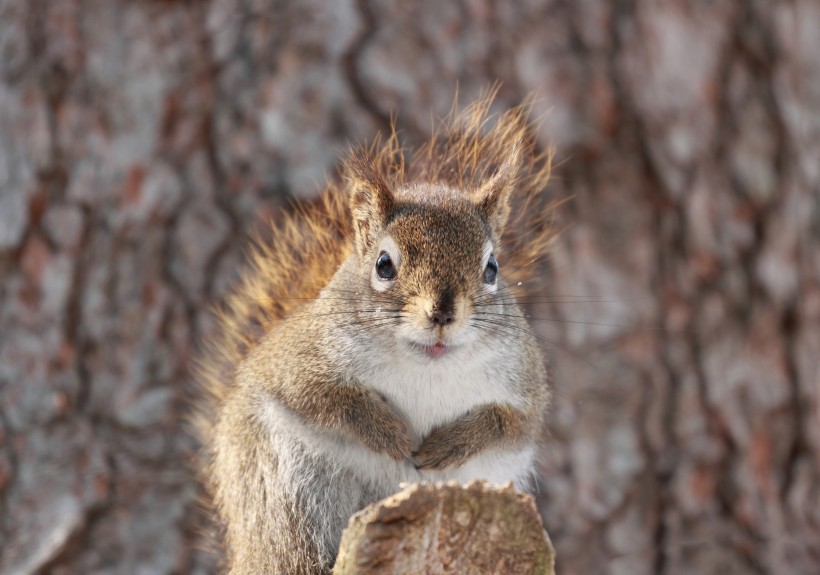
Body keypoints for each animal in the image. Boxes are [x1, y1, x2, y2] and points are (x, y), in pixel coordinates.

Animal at [189, 97, 556, 572]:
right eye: (384, 265)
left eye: (492, 268)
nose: (442, 313)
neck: (426, 367)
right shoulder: (297, 363)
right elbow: (329, 399)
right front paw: (391, 434)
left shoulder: (525, 384)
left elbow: (511, 423)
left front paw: (450, 445)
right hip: (281, 497)